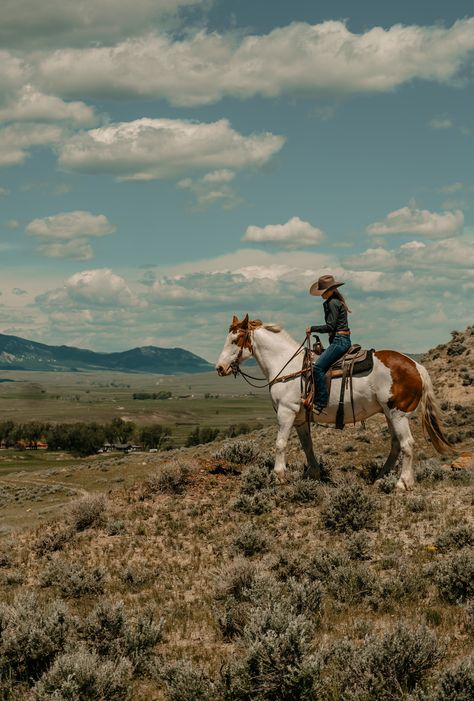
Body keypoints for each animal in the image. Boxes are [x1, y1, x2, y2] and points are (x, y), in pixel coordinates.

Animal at [216, 314, 452, 490]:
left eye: (235, 341)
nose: (219, 368)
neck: (287, 366)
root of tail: (415, 365)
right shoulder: (300, 418)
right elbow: (307, 445)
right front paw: (313, 474)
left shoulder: (286, 412)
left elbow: (280, 443)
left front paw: (279, 476)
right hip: (388, 413)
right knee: (395, 445)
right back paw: (380, 478)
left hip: (398, 413)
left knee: (407, 444)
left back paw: (402, 483)